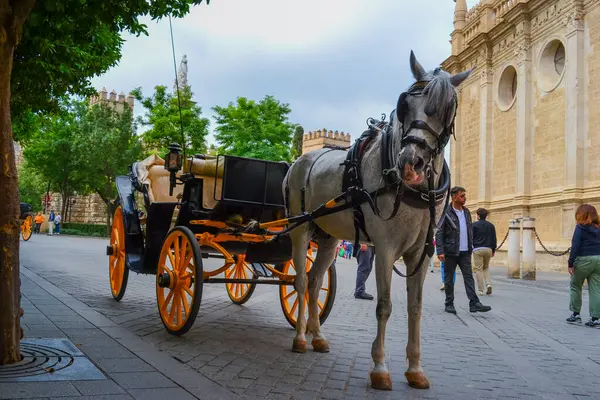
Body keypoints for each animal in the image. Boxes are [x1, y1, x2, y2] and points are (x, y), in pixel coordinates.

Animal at [282, 50, 474, 390]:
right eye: (405, 104)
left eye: (447, 109)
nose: (411, 163)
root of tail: (299, 161)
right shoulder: (384, 249)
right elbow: (385, 305)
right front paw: (380, 367)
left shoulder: (422, 253)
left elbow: (415, 307)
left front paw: (415, 369)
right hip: (300, 229)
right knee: (301, 281)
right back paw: (301, 337)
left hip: (329, 239)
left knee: (316, 282)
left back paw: (317, 336)